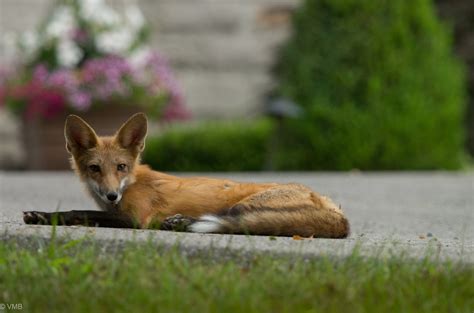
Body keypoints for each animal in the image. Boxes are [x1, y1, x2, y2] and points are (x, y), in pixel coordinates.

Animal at [23, 112, 348, 236]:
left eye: (121, 167)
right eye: (95, 169)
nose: (112, 194)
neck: (132, 184)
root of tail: (332, 205)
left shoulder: (136, 218)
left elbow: (78, 212)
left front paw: (48, 217)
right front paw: (41, 216)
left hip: (242, 207)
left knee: (235, 224)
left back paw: (179, 223)